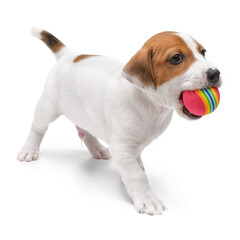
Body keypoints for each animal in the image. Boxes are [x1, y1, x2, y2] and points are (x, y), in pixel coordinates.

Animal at [17, 27, 222, 215]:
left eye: (203, 52)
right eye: (176, 58)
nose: (215, 73)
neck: (150, 103)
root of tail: (67, 55)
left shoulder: (133, 147)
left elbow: (137, 165)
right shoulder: (122, 148)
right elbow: (137, 175)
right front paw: (147, 198)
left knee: (85, 129)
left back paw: (97, 149)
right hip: (48, 107)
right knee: (38, 127)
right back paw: (29, 150)